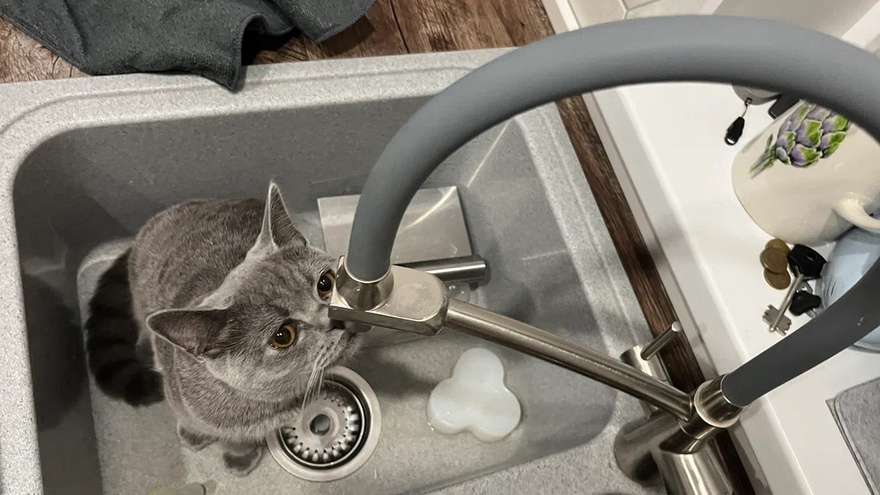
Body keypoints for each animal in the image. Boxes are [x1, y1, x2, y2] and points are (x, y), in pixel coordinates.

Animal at [84, 183, 360, 476]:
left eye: (325, 283)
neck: (273, 404)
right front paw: (198, 436)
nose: (335, 320)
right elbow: (196, 421)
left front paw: (239, 455)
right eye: (283, 336)